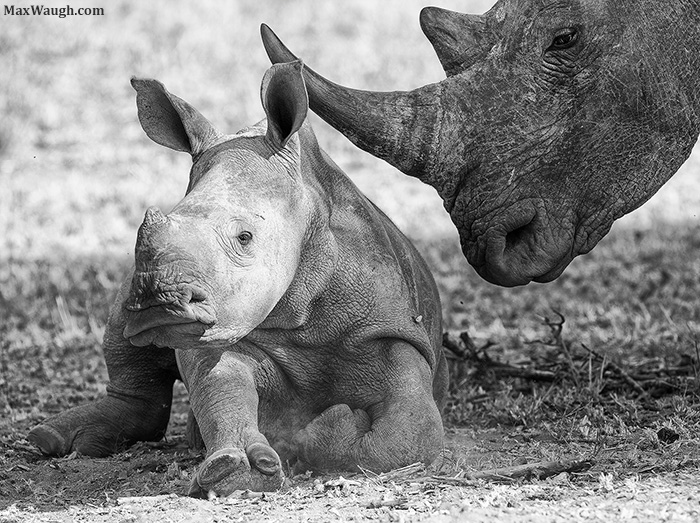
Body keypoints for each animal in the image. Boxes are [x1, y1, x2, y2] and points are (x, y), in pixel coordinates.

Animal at [28, 61, 448, 496]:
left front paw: (322, 434)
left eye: (244, 237)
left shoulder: (390, 330)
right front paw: (240, 469)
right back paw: (53, 439)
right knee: (122, 318)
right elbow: (222, 388)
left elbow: (409, 433)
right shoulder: (221, 325)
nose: (159, 304)